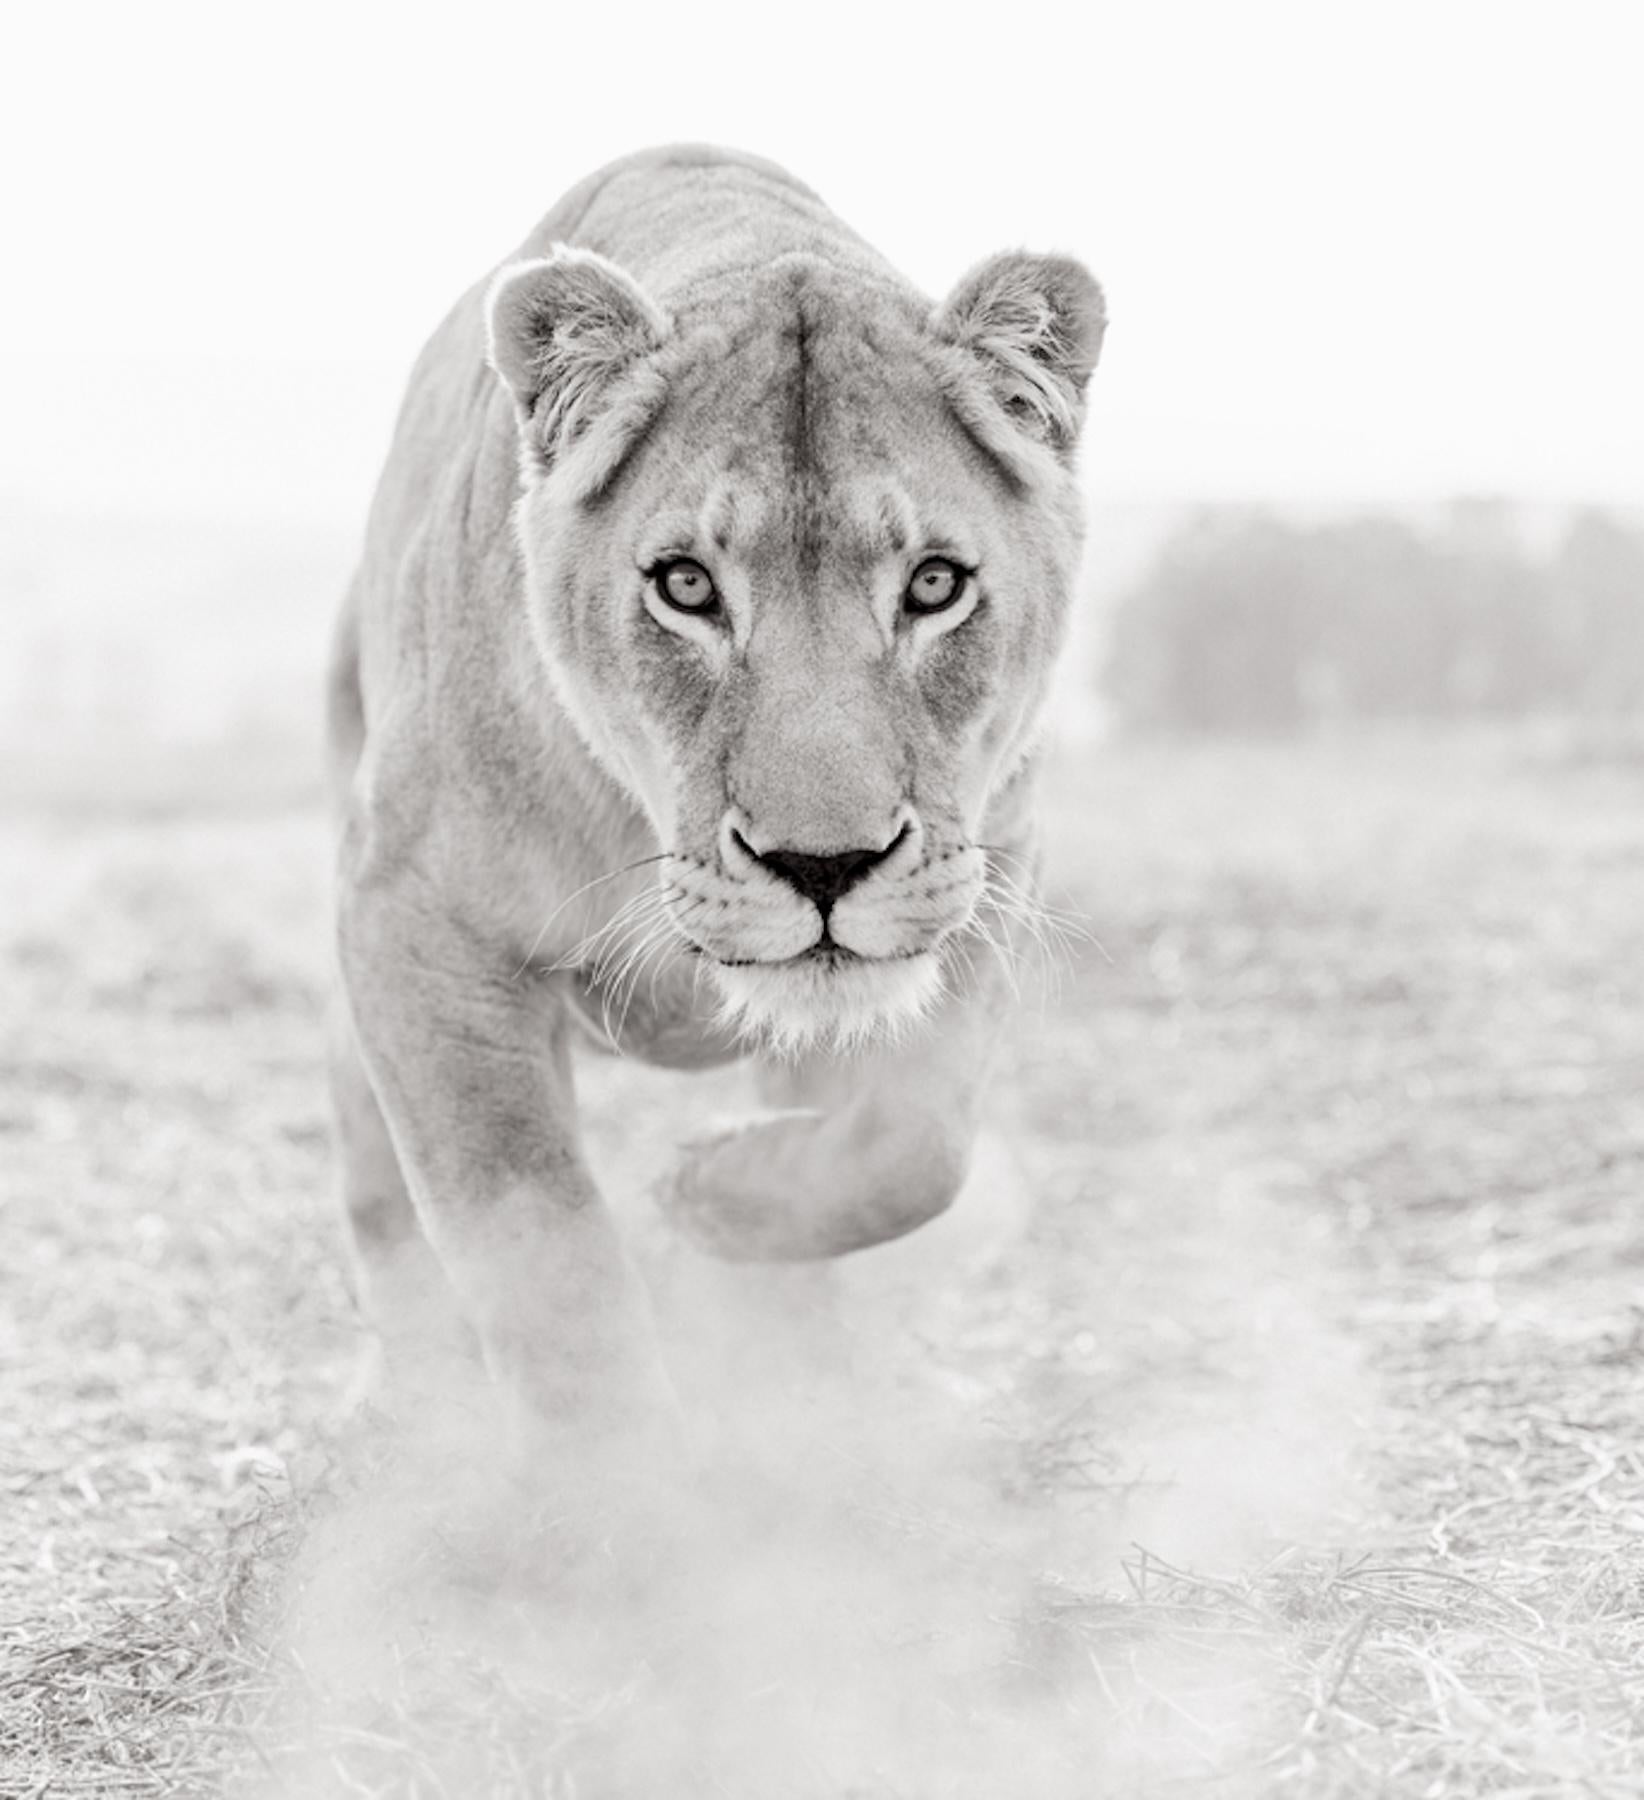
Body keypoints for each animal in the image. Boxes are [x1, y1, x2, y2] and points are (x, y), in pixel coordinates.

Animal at [327, 144, 1105, 1439]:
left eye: (933, 584)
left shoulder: (993, 862)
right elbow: (545, 1265)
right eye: (686, 586)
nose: (824, 866)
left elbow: (920, 1141)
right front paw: (622, 1488)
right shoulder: (416, 923)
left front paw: (712, 1199)